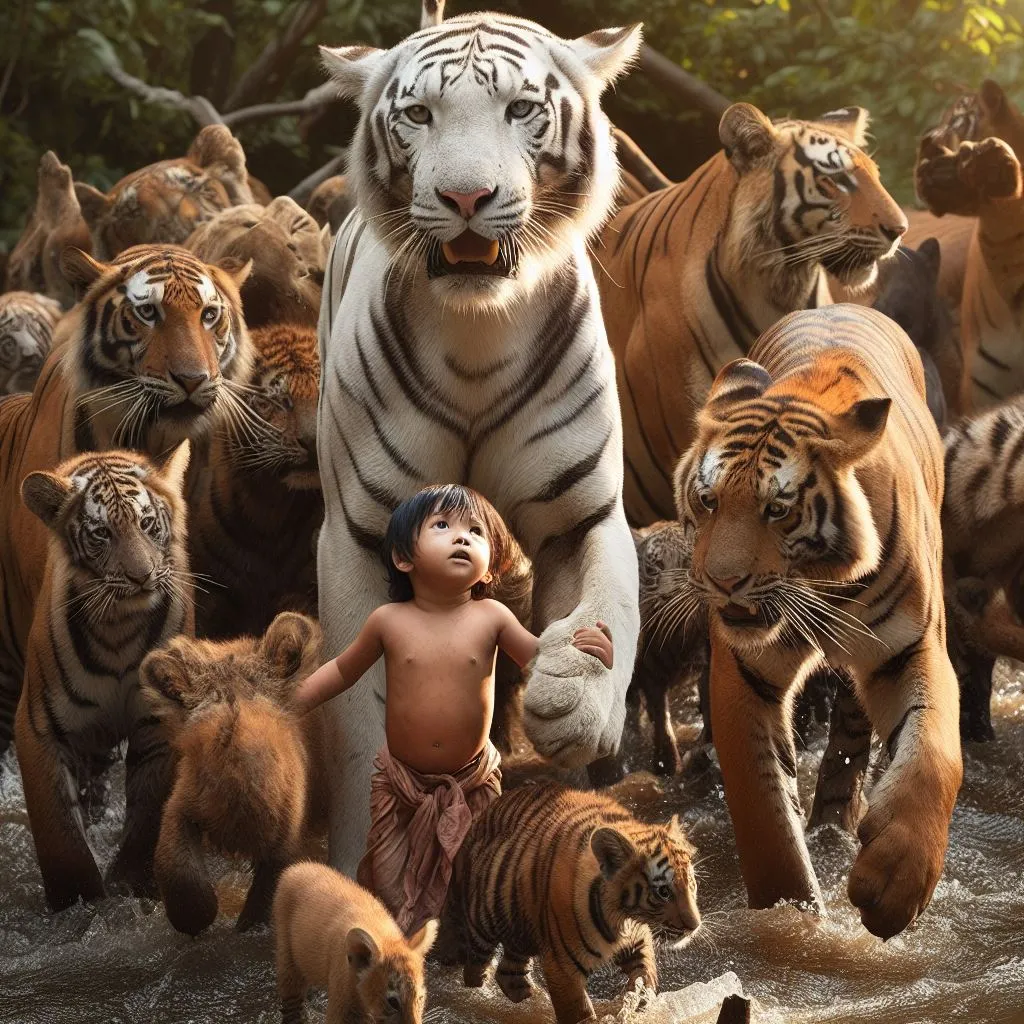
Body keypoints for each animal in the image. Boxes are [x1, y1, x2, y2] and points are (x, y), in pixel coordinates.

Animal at [315, 12, 643, 868]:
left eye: (521, 109)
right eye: (418, 114)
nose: (466, 196)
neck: (476, 331)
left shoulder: (582, 513)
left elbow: (609, 607)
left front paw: (575, 700)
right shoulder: (359, 531)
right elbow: (359, 719)